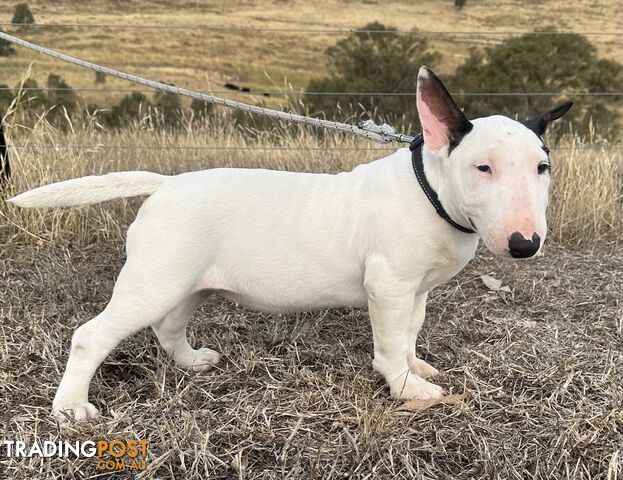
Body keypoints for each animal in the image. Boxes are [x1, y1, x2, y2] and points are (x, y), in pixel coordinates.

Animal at [9, 67, 576, 420]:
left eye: (542, 167)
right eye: (483, 167)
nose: (525, 244)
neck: (430, 191)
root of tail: (165, 184)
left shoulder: (416, 290)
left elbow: (410, 334)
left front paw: (416, 366)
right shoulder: (389, 286)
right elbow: (389, 343)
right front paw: (406, 388)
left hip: (185, 282)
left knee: (168, 328)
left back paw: (192, 362)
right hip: (153, 280)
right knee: (90, 336)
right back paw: (71, 408)